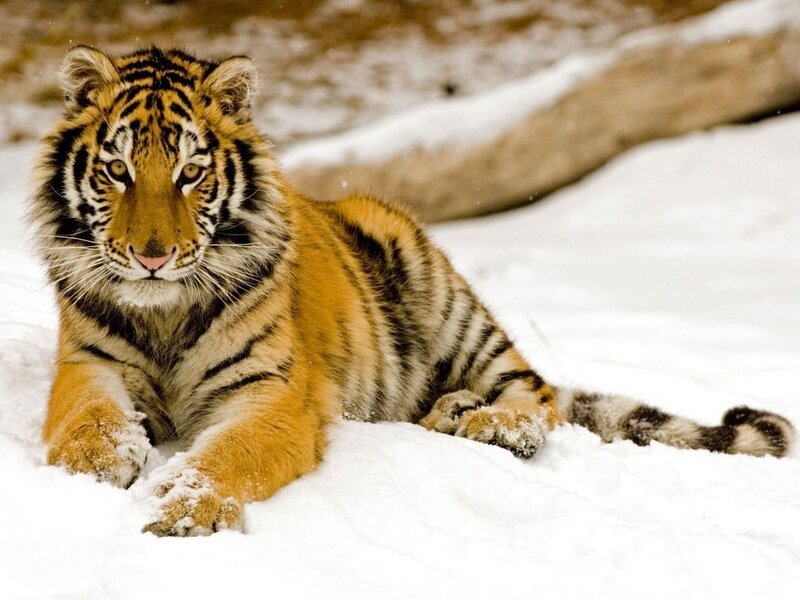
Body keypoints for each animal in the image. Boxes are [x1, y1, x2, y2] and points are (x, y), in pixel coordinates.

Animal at [29, 45, 794, 537]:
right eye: (118, 171)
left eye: (190, 173)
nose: (152, 256)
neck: (164, 311)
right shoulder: (89, 363)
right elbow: (86, 419)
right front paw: (94, 468)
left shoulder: (274, 392)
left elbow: (228, 453)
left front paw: (185, 507)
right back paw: (451, 412)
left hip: (442, 291)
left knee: (537, 395)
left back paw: (489, 423)